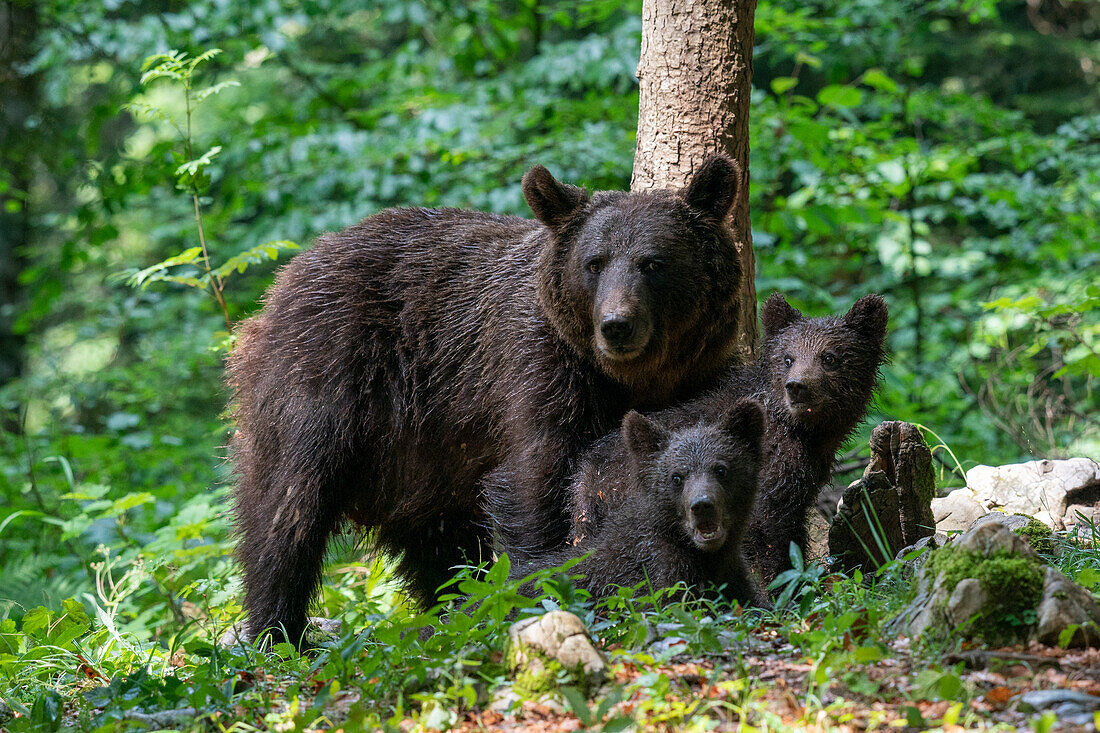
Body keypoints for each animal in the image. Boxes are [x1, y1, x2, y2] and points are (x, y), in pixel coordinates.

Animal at [563, 294, 888, 585]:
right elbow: (770, 538)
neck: (803, 431)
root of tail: (585, 476)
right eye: (787, 358)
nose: (797, 386)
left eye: (829, 357)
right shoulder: (767, 477)